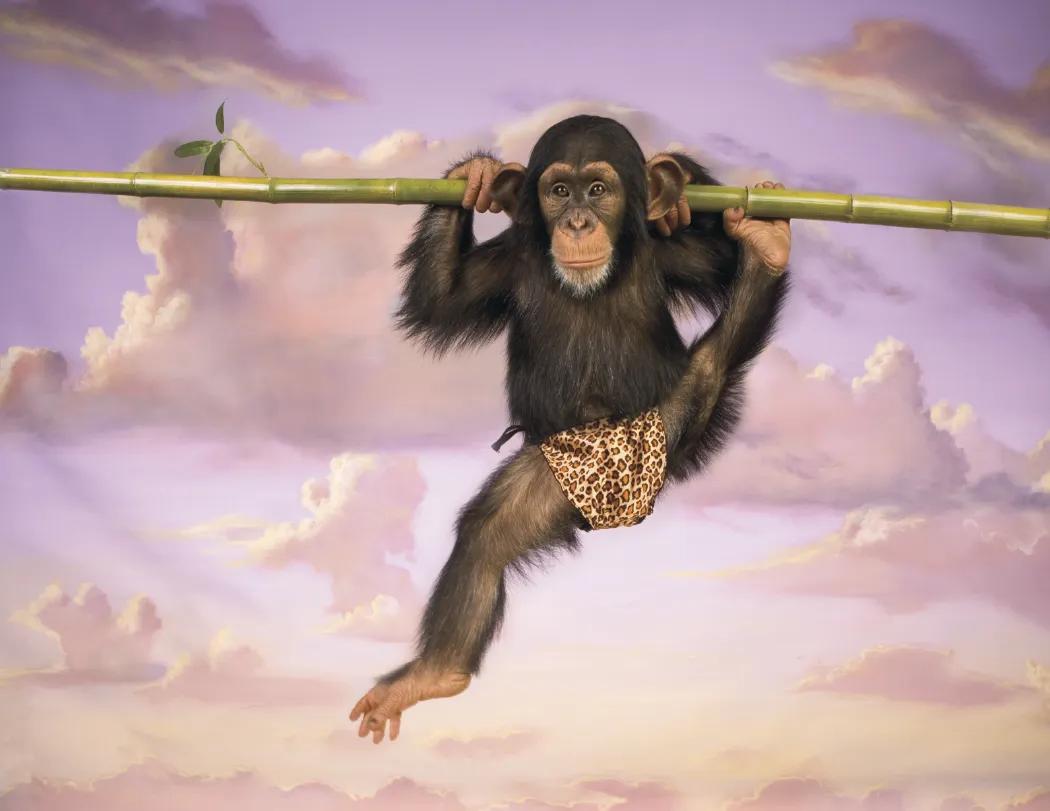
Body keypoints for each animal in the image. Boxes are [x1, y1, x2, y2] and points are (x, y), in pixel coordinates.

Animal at [349, 115, 790, 743]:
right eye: (559, 191)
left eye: (598, 190)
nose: (577, 221)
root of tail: (627, 508)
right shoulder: (505, 264)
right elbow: (440, 299)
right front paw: (474, 176)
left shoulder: (680, 258)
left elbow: (718, 259)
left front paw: (681, 187)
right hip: (562, 471)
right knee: (487, 537)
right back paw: (436, 673)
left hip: (668, 428)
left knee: (717, 357)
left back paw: (767, 246)